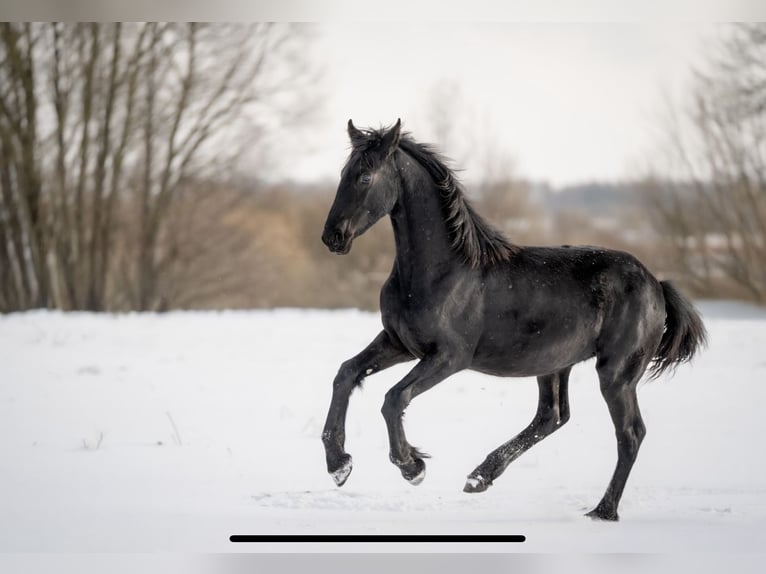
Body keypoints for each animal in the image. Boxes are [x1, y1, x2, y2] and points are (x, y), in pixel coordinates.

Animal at [319, 119, 706, 521]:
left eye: (365, 177)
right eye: (344, 173)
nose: (333, 237)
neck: (442, 272)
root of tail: (657, 284)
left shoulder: (449, 357)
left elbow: (394, 398)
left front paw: (413, 467)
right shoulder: (399, 343)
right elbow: (346, 373)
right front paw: (339, 465)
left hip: (616, 373)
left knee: (629, 434)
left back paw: (603, 510)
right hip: (555, 364)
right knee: (552, 416)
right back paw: (479, 476)